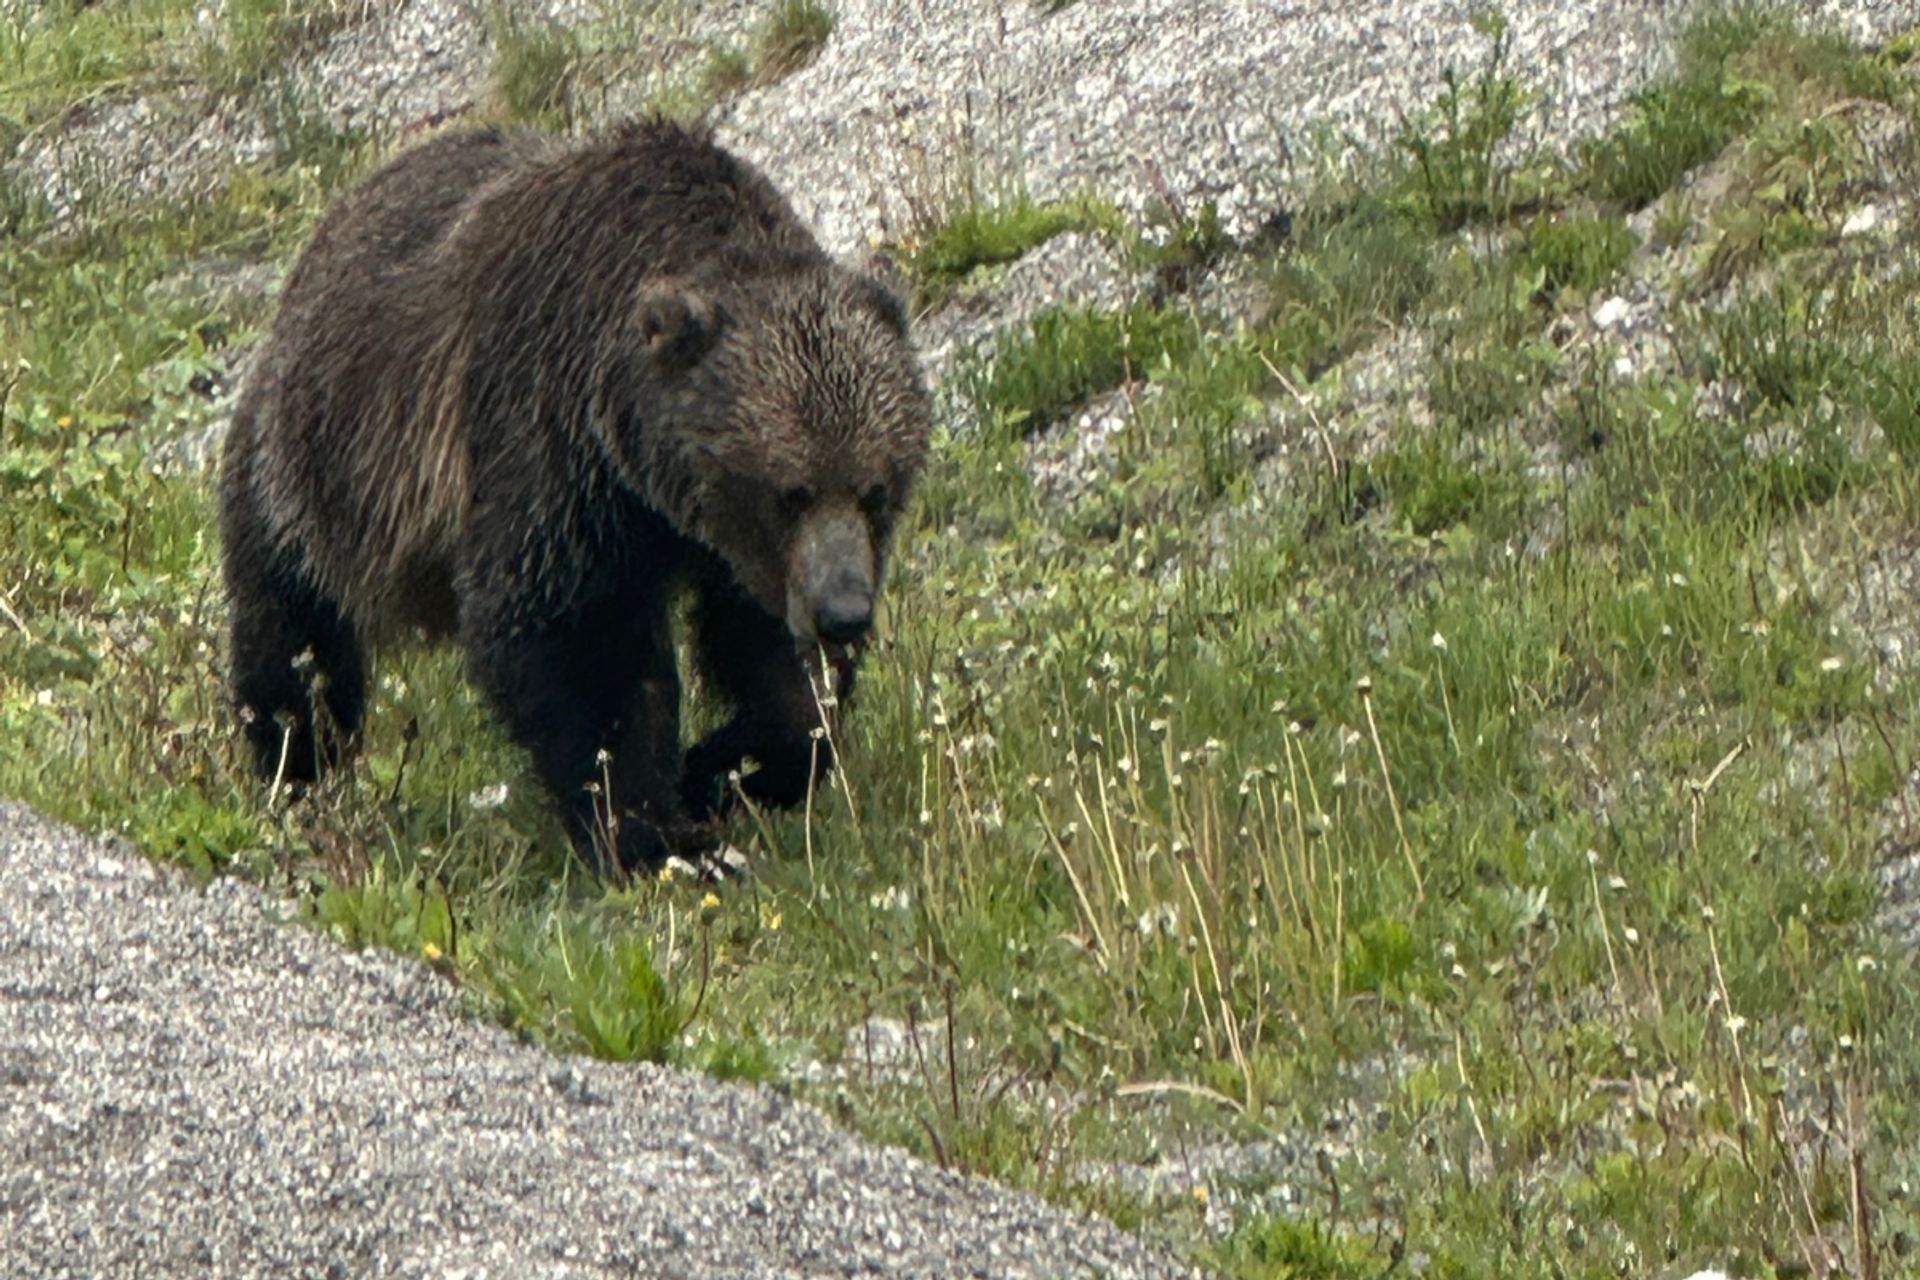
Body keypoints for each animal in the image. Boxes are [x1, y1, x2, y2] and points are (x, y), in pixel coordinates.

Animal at [219, 121, 932, 872]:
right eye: (790, 490)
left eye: (875, 487)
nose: (843, 612)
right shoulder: (558, 452)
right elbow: (583, 642)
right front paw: (650, 831)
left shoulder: (736, 551)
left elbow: (771, 662)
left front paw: (722, 770)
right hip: (312, 470)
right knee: (296, 638)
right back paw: (298, 766)